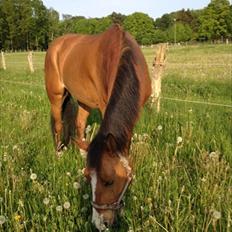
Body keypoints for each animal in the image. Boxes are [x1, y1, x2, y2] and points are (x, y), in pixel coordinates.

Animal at [44, 24, 151, 229]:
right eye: (87, 178)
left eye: (109, 181)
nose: (100, 223)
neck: (122, 53)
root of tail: (57, 44)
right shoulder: (104, 104)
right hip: (56, 97)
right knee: (58, 126)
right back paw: (58, 154)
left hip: (83, 100)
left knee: (79, 124)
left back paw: (81, 151)